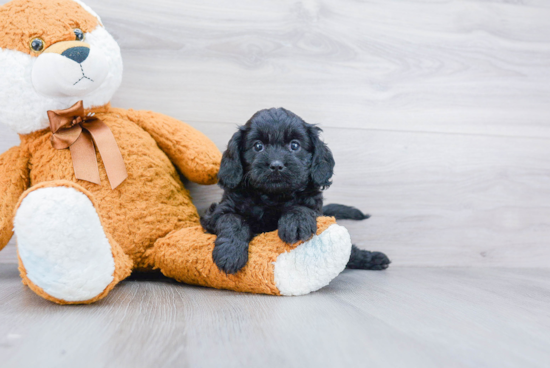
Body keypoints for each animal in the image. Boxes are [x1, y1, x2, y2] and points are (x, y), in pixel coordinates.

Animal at [201, 108, 390, 274]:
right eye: (258, 146)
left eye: (294, 145)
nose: (276, 165)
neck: (273, 197)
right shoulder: (216, 213)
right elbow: (233, 220)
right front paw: (230, 253)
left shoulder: (314, 207)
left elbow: (300, 207)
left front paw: (296, 223)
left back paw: (370, 258)